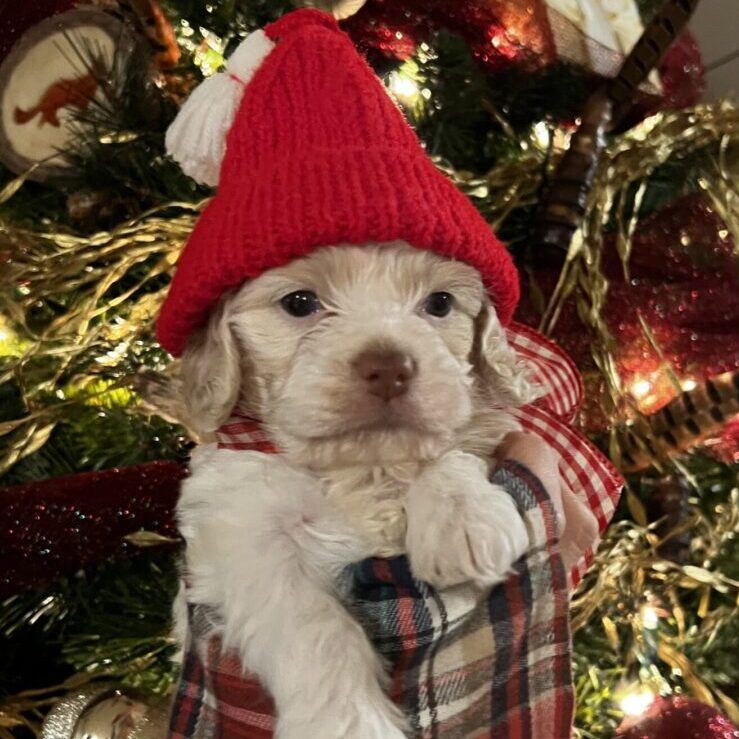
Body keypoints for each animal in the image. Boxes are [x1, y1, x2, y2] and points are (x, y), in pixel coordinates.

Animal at [176, 241, 540, 736]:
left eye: (439, 303)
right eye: (300, 303)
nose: (390, 367)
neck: (362, 465)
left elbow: (450, 446)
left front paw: (464, 519)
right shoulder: (242, 534)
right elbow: (314, 622)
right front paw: (350, 721)